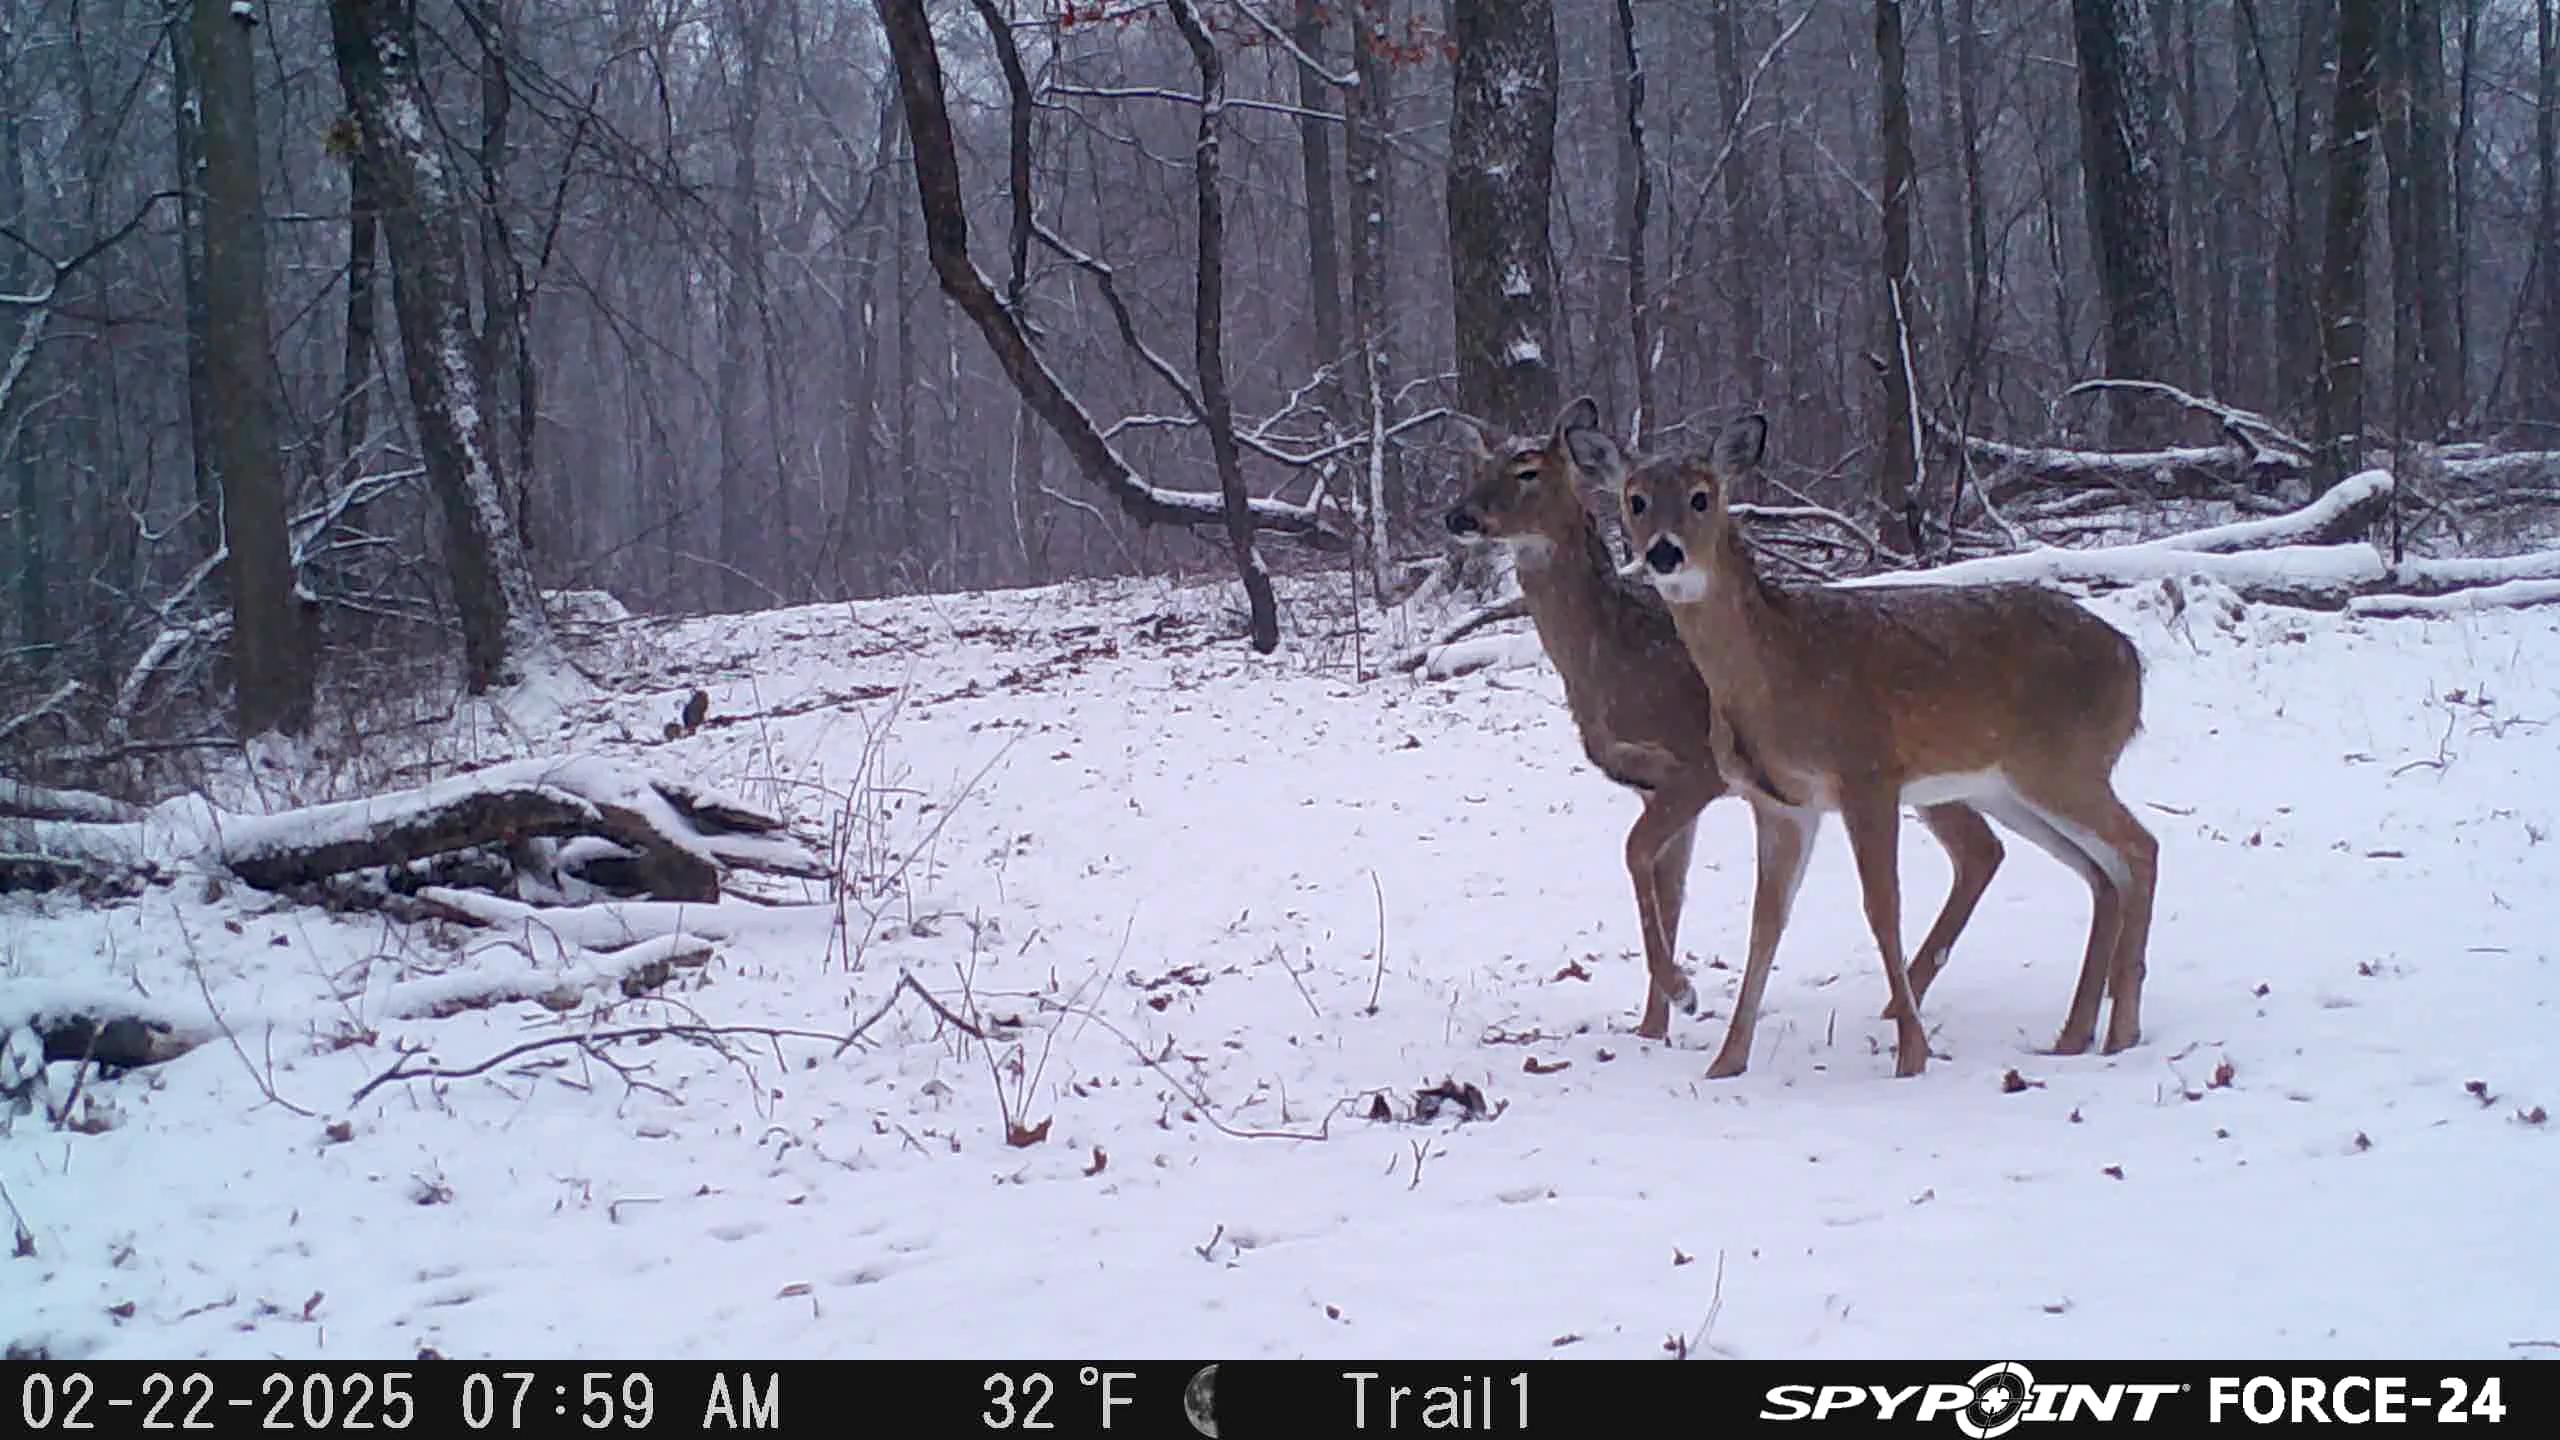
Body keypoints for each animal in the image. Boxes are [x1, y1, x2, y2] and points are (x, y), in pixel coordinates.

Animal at [1438, 397, 1999, 1048]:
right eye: (1478, 467)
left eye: (1527, 470)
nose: (1459, 515)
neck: (1611, 656)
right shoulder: (1650, 785)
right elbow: (1667, 889)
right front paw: (1651, 1029)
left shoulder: (1696, 765)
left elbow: (1637, 856)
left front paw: (1682, 994)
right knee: (1982, 849)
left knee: (1981, 848)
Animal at [1606, 410, 2157, 1079]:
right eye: (1634, 499)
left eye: (1700, 496)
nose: (1664, 552)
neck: (1777, 670)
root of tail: (2134, 664)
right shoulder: (1781, 803)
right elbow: (1766, 924)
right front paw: (1727, 1060)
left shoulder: (1868, 772)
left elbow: (1881, 907)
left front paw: (1912, 1056)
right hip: (2010, 787)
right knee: (2105, 871)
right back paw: (2079, 1035)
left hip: (2064, 763)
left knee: (2140, 848)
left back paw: (2123, 1030)